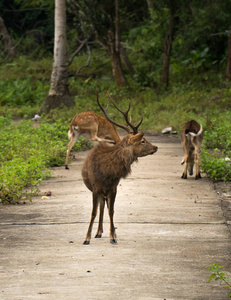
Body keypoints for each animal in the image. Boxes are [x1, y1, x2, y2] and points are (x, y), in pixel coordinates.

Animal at [81, 93, 159, 244]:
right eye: (142, 141)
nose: (155, 147)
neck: (107, 172)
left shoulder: (113, 186)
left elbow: (111, 211)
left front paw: (113, 236)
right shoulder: (95, 187)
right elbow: (93, 212)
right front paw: (86, 238)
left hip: (106, 191)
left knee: (105, 206)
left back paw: (103, 232)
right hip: (98, 190)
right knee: (101, 206)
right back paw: (98, 232)